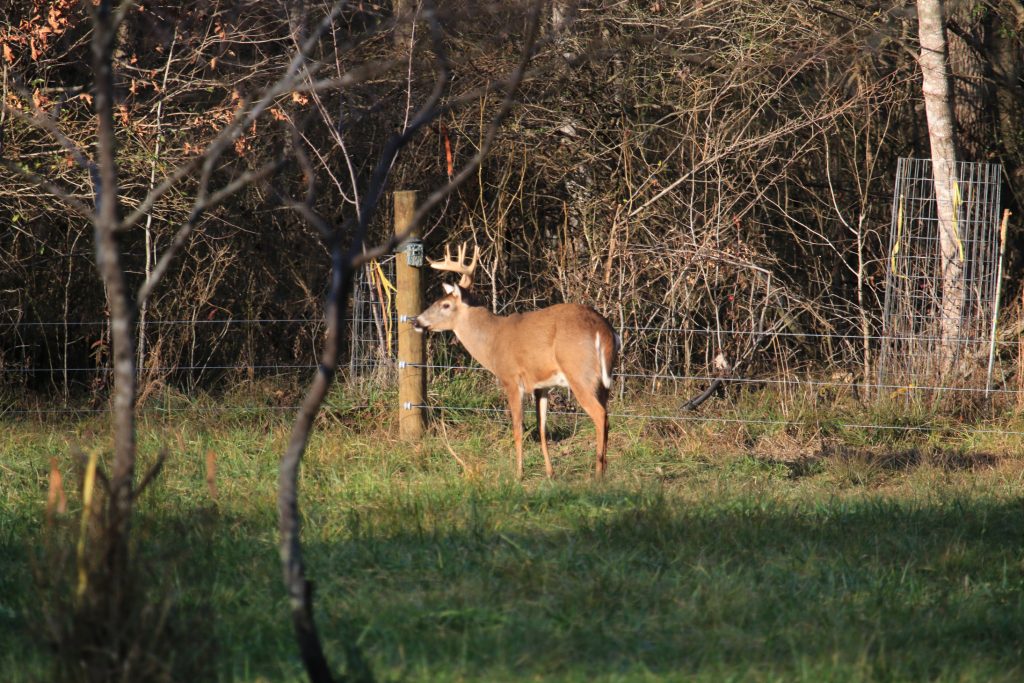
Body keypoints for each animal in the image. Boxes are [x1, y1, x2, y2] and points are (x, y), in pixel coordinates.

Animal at [409, 242, 614, 479]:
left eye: (445, 305)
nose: (416, 321)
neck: (492, 340)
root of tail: (603, 330)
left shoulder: (511, 379)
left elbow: (517, 428)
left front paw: (518, 473)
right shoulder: (541, 385)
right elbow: (541, 428)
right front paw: (550, 473)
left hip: (579, 373)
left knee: (600, 415)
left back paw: (598, 474)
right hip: (603, 380)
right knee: (605, 414)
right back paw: (603, 469)